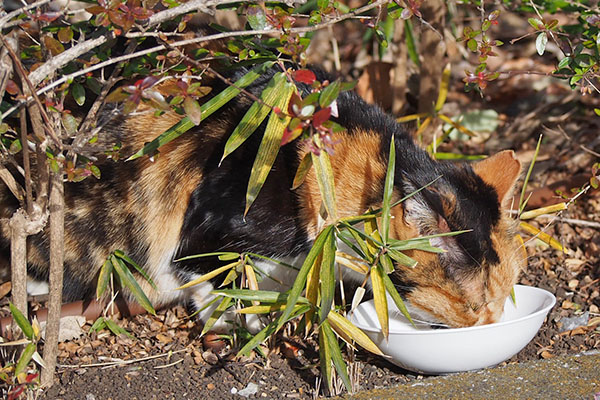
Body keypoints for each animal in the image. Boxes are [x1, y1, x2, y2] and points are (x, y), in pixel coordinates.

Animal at [0, 65, 524, 328]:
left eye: (506, 296)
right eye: (473, 306)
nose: (491, 323)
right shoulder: (210, 231)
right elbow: (211, 276)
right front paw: (244, 318)